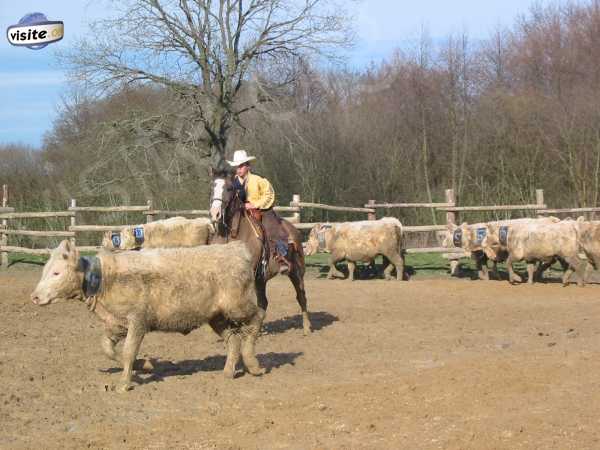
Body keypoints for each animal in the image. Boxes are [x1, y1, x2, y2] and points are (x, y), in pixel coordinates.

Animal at [209, 174, 312, 336]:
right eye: (212, 186)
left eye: (229, 188)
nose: (215, 214)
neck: (233, 234)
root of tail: (294, 230)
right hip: (261, 279)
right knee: (263, 303)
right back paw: (256, 329)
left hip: (296, 271)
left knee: (301, 296)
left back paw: (306, 328)